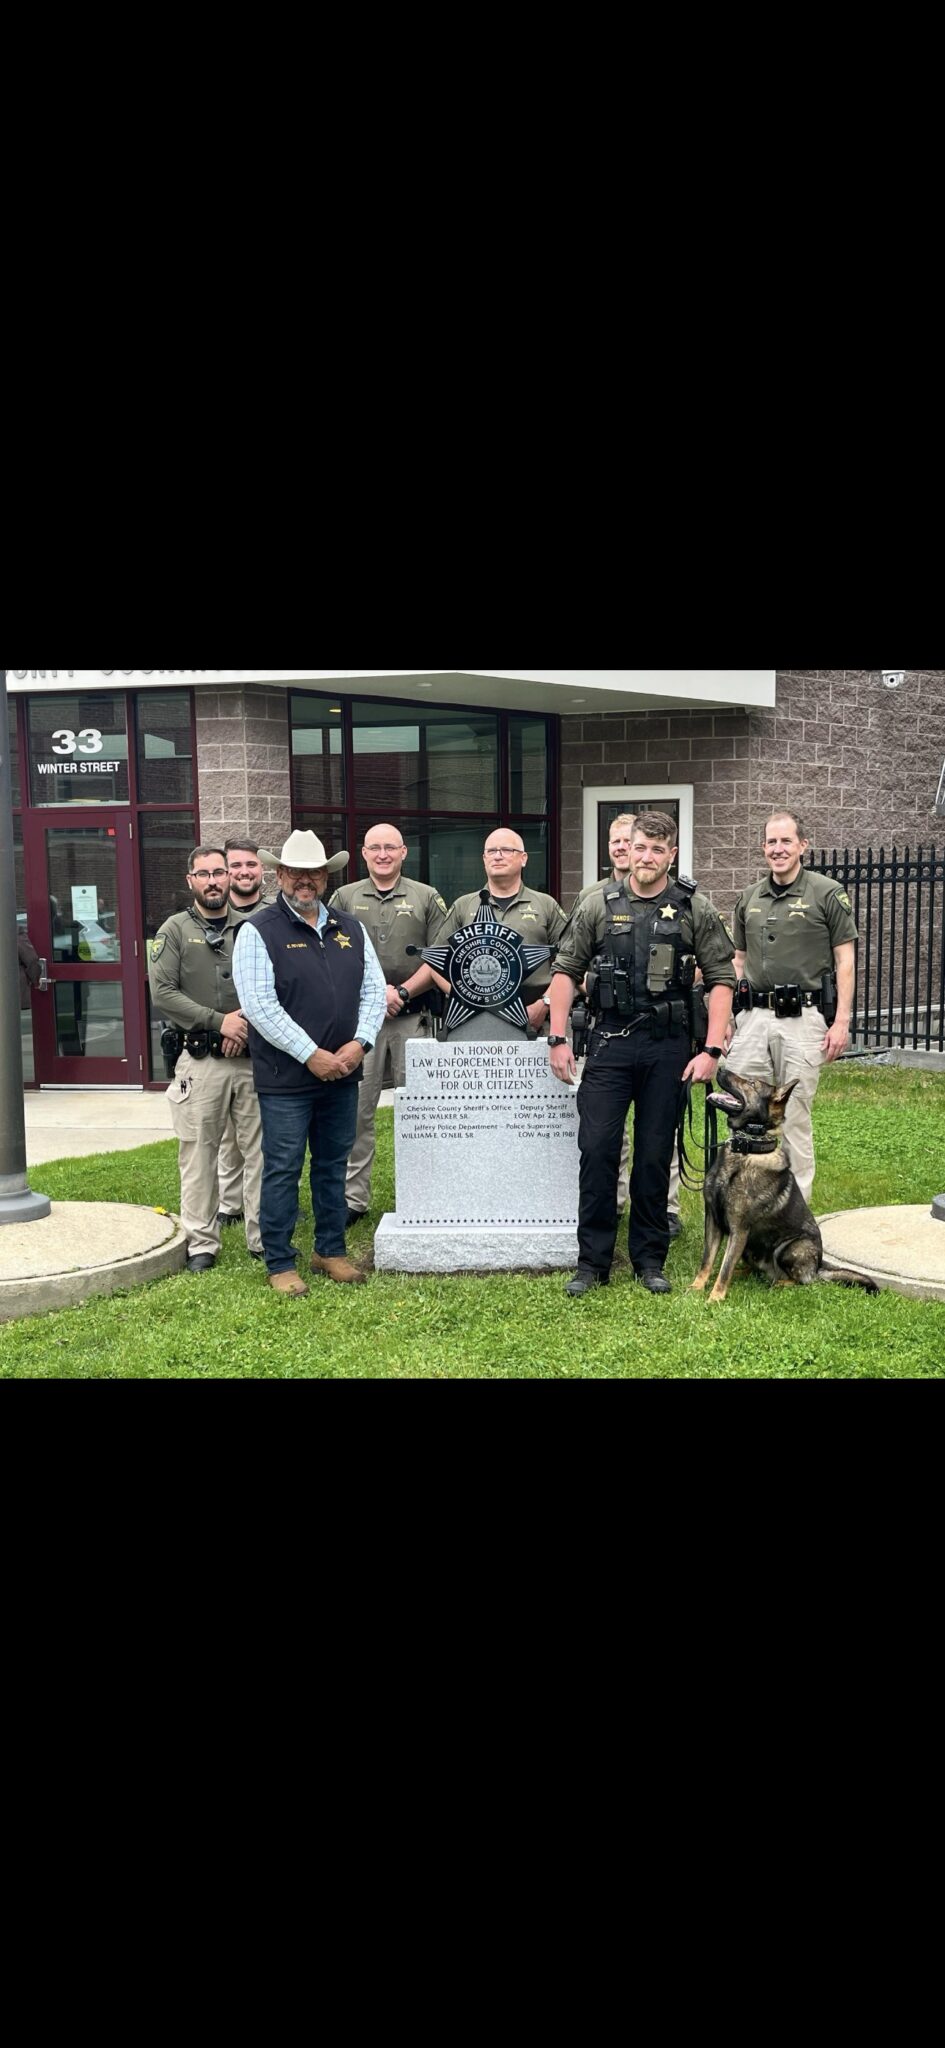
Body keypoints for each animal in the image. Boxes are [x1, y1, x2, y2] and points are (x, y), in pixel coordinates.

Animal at [688, 1064, 873, 1302]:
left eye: (752, 1084)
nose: (719, 1068)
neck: (747, 1150)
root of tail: (819, 1268)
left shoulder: (739, 1229)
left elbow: (725, 1268)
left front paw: (715, 1298)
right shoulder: (713, 1221)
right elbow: (707, 1260)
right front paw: (697, 1287)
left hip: (792, 1248)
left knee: (802, 1281)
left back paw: (777, 1284)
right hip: (751, 1249)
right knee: (752, 1269)